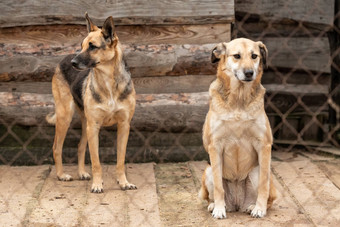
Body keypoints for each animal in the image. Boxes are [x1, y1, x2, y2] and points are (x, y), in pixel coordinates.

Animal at [46, 13, 137, 192]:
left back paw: (81, 172)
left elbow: (120, 160)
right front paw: (97, 185)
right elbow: (96, 162)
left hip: (85, 123)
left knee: (80, 146)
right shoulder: (94, 126)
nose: (73, 63)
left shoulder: (124, 126)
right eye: (81, 46)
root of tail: (65, 57)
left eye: (92, 47)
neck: (108, 81)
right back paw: (61, 175)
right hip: (66, 117)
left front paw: (123, 182)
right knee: (56, 147)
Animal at [199, 38, 276, 219]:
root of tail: (237, 204)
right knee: (212, 194)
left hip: (257, 171)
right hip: (209, 170)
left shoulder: (264, 145)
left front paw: (260, 209)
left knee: (267, 194)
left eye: (254, 56)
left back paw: (253, 206)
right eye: (236, 56)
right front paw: (219, 209)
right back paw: (216, 205)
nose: (249, 73)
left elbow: (263, 186)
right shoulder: (215, 146)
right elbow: (219, 187)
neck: (239, 100)